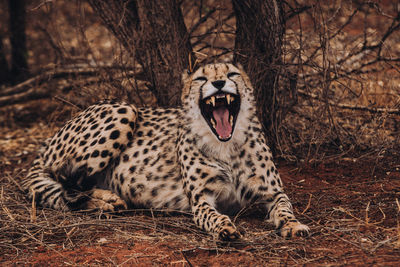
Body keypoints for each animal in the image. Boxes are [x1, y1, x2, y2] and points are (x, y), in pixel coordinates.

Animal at [22, 62, 310, 241]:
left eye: (231, 74)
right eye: (201, 78)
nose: (218, 83)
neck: (225, 145)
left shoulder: (273, 192)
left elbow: (285, 208)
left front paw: (293, 225)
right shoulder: (201, 200)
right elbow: (213, 216)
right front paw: (225, 228)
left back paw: (107, 200)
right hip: (124, 109)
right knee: (64, 184)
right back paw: (104, 200)